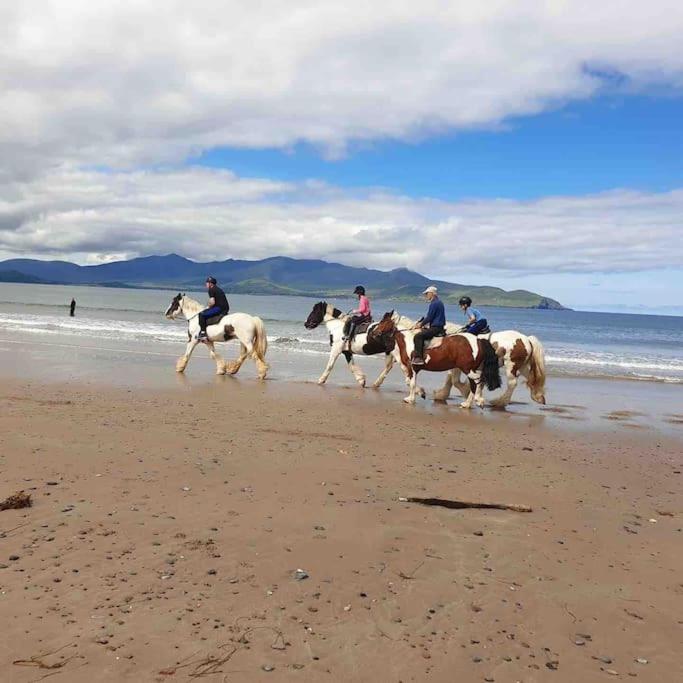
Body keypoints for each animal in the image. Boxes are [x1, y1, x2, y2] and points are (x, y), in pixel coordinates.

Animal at [373, 315, 502, 408]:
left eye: (383, 322)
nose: (374, 333)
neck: (409, 341)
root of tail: (478, 340)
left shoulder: (412, 367)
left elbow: (412, 383)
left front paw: (410, 399)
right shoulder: (412, 369)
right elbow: (409, 382)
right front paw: (420, 393)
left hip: (468, 369)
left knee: (479, 381)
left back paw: (479, 400)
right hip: (473, 369)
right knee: (474, 384)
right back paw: (467, 404)